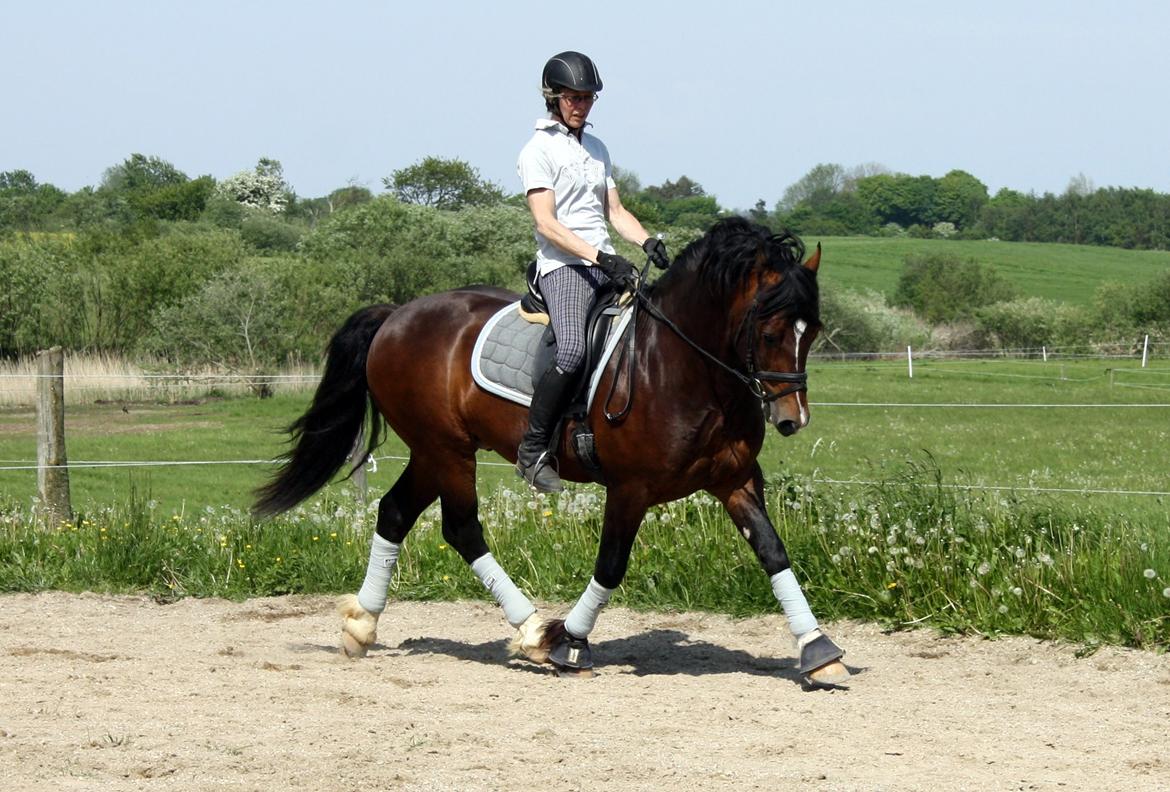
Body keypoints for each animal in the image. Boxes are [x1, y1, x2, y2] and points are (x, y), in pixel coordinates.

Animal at [253, 216, 851, 687]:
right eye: (769, 331)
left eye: (813, 330)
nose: (792, 419)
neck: (683, 368)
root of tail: (397, 314)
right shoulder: (630, 488)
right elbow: (611, 565)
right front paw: (571, 642)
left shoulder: (736, 479)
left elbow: (773, 551)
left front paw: (818, 650)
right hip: (447, 450)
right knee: (462, 528)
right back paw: (534, 630)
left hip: (432, 450)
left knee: (395, 513)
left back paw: (362, 626)